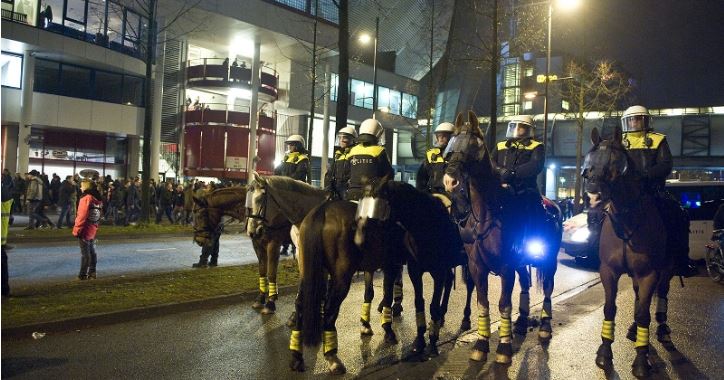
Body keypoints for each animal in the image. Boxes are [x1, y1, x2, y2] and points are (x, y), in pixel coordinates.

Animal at [438, 111, 564, 364]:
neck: (488, 214)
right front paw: (481, 343)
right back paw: (522, 322)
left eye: (474, 146)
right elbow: (483, 303)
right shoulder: (477, 267)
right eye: (451, 145)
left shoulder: (506, 267)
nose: (450, 181)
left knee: (547, 289)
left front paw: (504, 347)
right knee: (525, 285)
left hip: (549, 260)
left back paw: (545, 327)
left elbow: (504, 304)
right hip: (522, 263)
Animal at [584, 125, 680, 378]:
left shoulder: (649, 274)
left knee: (661, 295)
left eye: (614, 165)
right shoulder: (608, 271)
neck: (627, 220)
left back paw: (662, 330)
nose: (593, 197)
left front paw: (641, 359)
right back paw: (635, 330)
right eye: (588, 165)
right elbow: (610, 308)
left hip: (666, 270)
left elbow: (644, 313)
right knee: (638, 297)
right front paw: (604, 352)